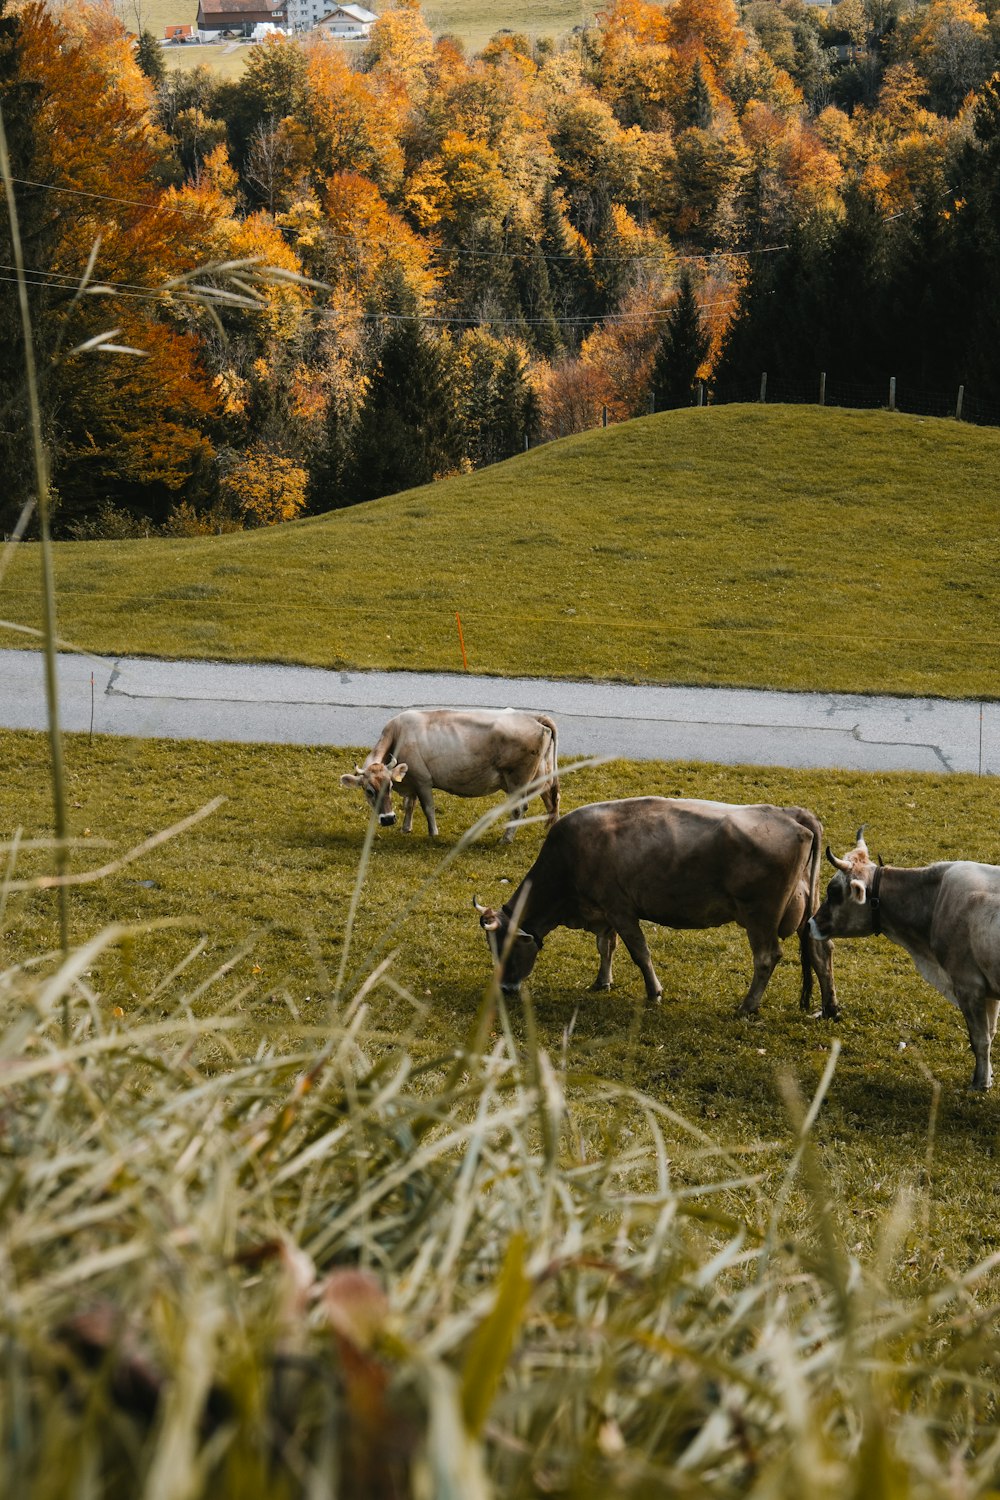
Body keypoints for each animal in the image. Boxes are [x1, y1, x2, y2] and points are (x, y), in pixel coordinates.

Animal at [341, 705, 563, 846]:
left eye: (388, 787)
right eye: (369, 791)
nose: (387, 819)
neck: (398, 735)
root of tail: (533, 717)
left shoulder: (422, 780)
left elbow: (427, 808)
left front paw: (433, 834)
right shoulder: (410, 780)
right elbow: (409, 804)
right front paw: (406, 828)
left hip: (518, 779)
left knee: (519, 808)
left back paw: (506, 839)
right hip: (542, 774)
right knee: (552, 800)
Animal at [473, 792, 839, 1014]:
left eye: (508, 949)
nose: (505, 988)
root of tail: (792, 814)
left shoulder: (620, 909)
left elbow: (638, 952)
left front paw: (654, 991)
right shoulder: (604, 911)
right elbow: (605, 947)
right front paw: (602, 981)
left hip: (759, 914)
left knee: (766, 957)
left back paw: (747, 1006)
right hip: (808, 911)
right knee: (821, 952)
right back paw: (829, 1008)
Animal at [809, 834, 1000, 1092]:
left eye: (834, 891)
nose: (811, 923)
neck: (936, 899)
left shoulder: (968, 985)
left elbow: (980, 1039)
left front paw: (980, 1083)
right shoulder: (987, 990)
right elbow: (990, 1033)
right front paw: (987, 1077)